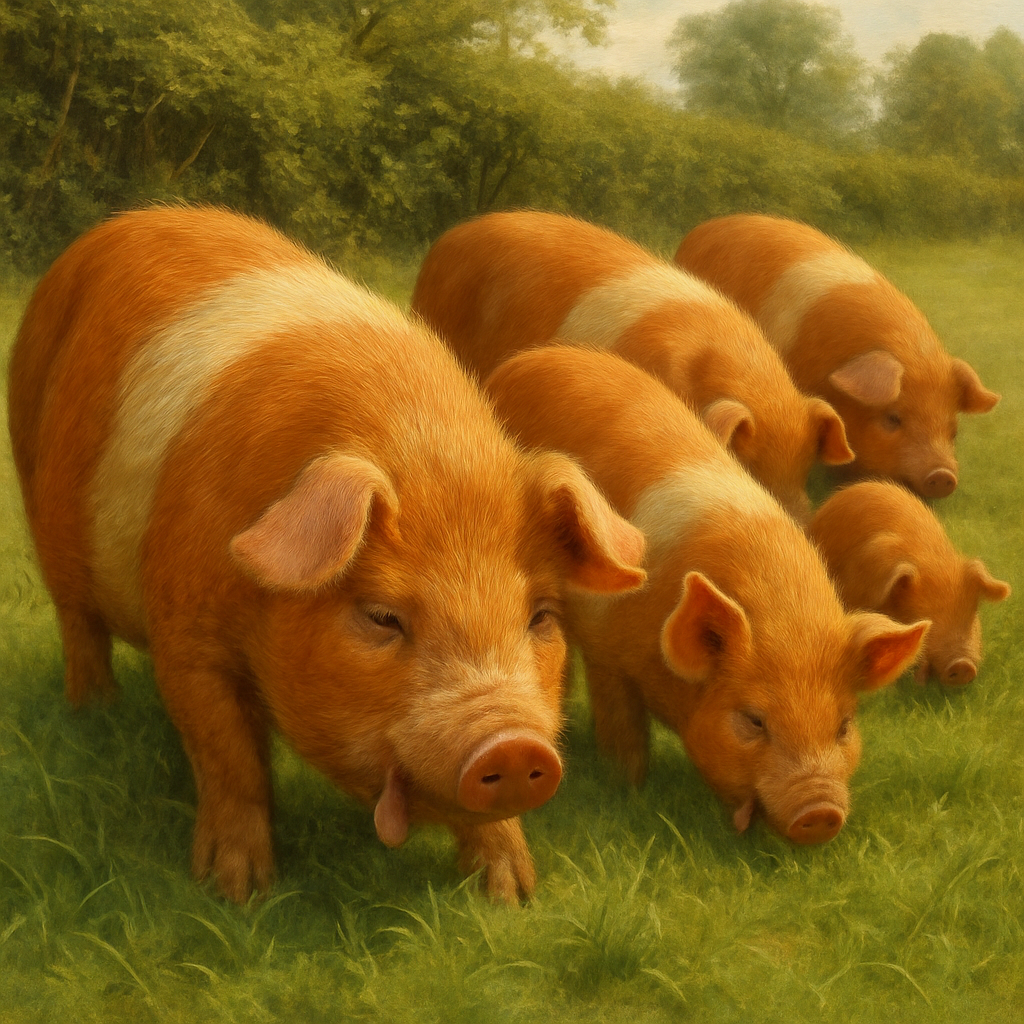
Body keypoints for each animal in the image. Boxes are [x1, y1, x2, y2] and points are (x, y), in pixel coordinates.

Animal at [7, 206, 648, 904]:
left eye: (541, 618)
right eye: (382, 617)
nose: (512, 747)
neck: (425, 455)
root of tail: (115, 226)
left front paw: (513, 897)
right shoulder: (186, 633)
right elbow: (229, 756)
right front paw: (237, 893)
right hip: (40, 495)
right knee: (78, 624)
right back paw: (96, 710)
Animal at [484, 345, 928, 844]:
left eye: (844, 726)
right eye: (754, 720)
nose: (821, 812)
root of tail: (527, 357)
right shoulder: (608, 654)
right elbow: (624, 735)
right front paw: (627, 791)